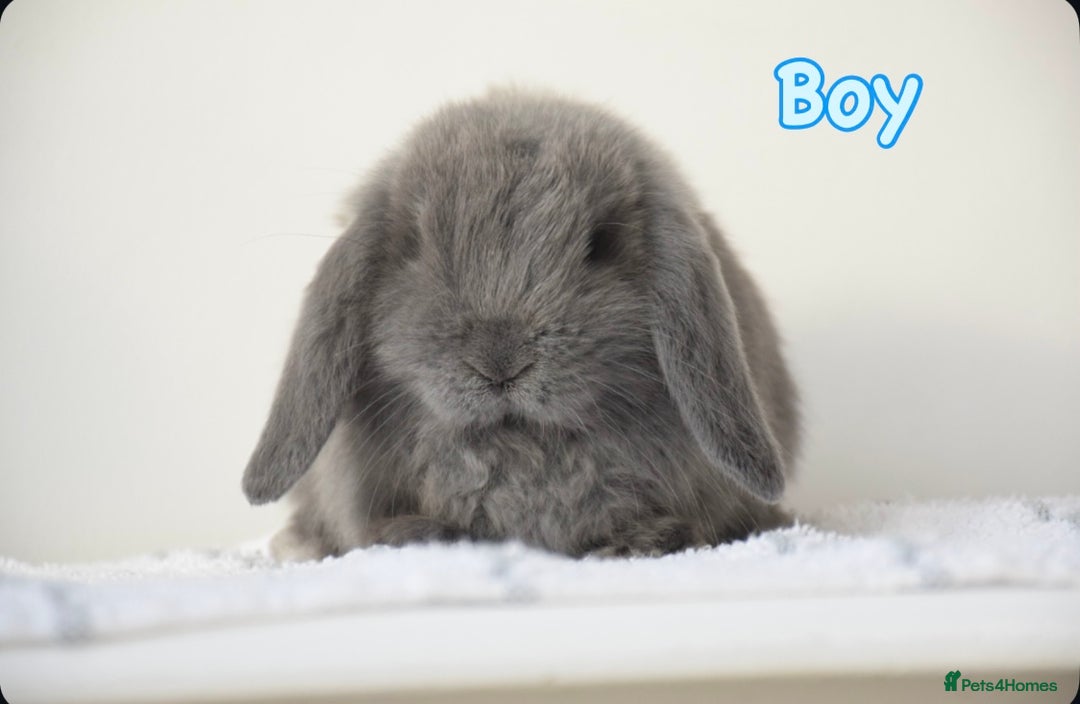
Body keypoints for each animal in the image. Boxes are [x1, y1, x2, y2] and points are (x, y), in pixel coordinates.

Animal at [242, 89, 800, 560]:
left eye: (600, 244)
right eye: (416, 244)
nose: (500, 361)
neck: (518, 449)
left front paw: (642, 541)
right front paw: (416, 534)